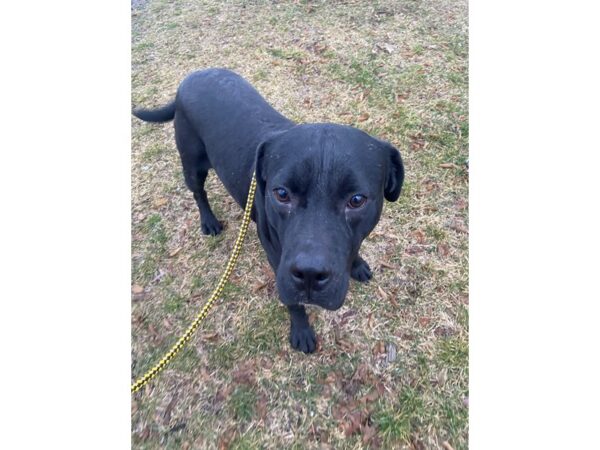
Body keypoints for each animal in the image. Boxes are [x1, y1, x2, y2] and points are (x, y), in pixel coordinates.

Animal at [131, 68, 404, 354]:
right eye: (281, 194)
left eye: (357, 200)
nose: (309, 274)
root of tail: (190, 78)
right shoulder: (276, 257)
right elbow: (293, 303)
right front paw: (301, 330)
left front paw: (357, 263)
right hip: (192, 164)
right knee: (198, 193)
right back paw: (208, 221)